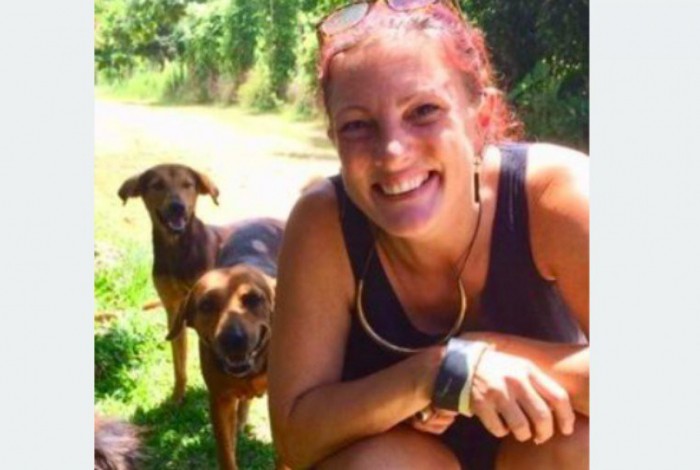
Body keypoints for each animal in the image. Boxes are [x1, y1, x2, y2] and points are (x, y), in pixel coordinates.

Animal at [118, 164, 233, 403]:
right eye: (157, 185)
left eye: (188, 184)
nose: (177, 208)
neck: (177, 250)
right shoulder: (173, 309)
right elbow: (179, 363)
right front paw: (177, 398)